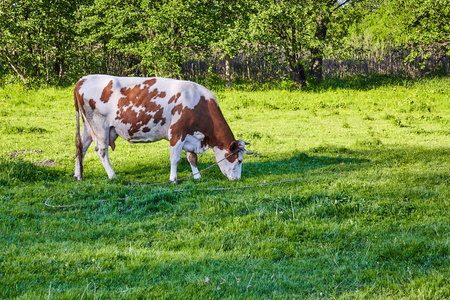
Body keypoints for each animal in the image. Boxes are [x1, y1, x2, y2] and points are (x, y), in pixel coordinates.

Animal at [72, 75, 251, 183]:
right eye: (239, 160)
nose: (237, 179)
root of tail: (83, 79)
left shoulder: (190, 136)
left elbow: (192, 158)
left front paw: (197, 176)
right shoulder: (177, 133)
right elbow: (175, 158)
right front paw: (173, 179)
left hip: (88, 127)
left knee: (81, 147)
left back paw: (78, 174)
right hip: (99, 126)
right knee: (101, 151)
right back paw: (112, 175)